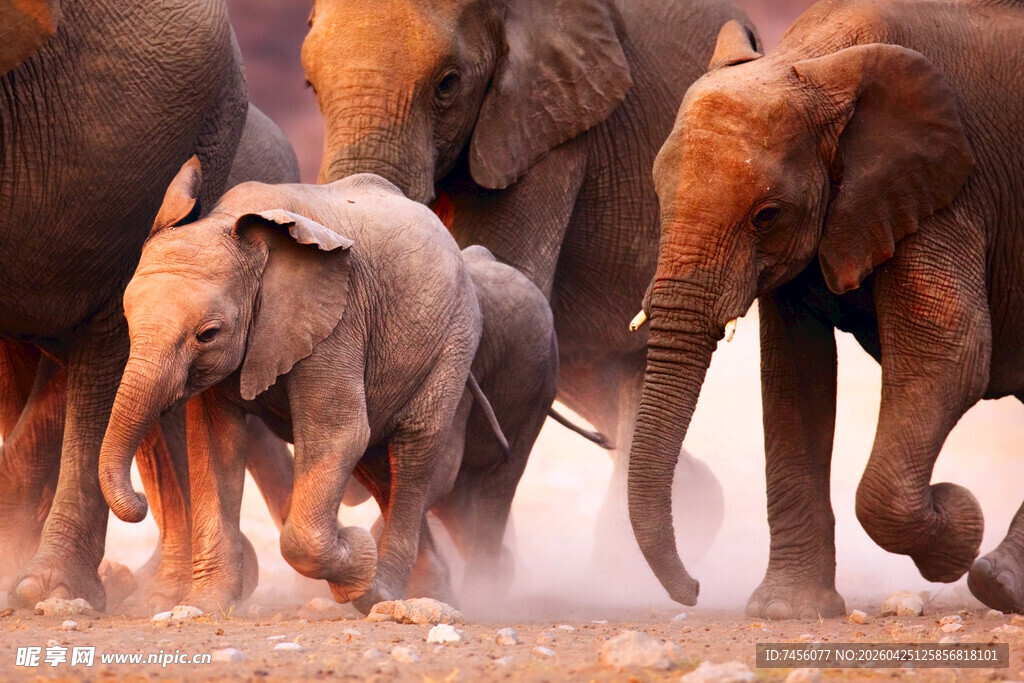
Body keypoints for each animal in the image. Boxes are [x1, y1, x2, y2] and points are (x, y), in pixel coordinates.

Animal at [627, 0, 1024, 618]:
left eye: (766, 215)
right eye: (658, 196)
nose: (693, 590)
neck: (818, 61)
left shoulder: (947, 192)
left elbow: (950, 354)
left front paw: (958, 525)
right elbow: (795, 378)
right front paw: (788, 612)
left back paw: (994, 582)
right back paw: (1002, 582)